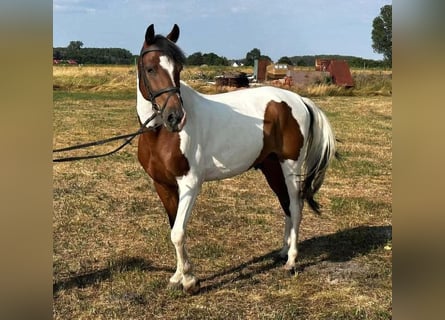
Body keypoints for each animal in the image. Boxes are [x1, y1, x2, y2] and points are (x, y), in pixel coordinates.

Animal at [136, 24, 336, 296]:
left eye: (178, 69)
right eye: (150, 69)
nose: (175, 117)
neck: (160, 135)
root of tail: (299, 101)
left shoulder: (190, 183)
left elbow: (178, 232)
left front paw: (189, 281)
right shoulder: (163, 185)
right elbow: (173, 227)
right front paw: (178, 276)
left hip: (290, 166)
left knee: (296, 206)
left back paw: (292, 261)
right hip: (271, 167)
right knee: (285, 205)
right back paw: (283, 252)